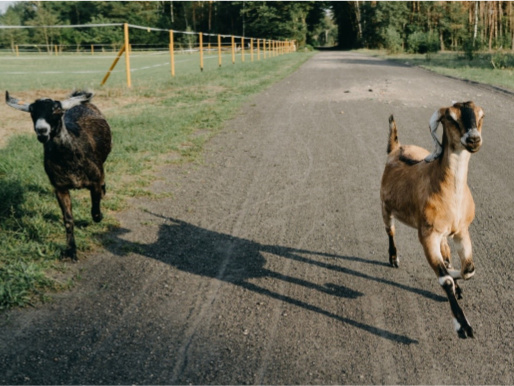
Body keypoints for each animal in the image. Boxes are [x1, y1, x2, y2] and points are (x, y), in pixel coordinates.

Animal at [6, 89, 111, 260]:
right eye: (32, 112)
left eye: (56, 110)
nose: (42, 131)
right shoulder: (60, 187)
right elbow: (68, 220)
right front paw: (71, 250)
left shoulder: (95, 180)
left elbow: (95, 210)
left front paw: (99, 216)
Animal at [380, 102, 484, 338]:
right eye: (451, 118)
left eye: (481, 116)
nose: (473, 139)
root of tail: (396, 148)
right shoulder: (427, 236)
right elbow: (444, 279)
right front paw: (463, 325)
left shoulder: (462, 231)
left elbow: (468, 270)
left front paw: (457, 281)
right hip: (385, 207)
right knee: (391, 231)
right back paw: (393, 258)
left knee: (447, 252)